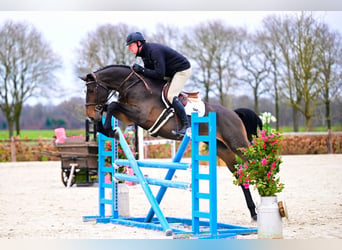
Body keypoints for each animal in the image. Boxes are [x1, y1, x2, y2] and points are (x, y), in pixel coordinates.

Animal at [81, 65, 258, 221]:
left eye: (92, 90)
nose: (90, 116)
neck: (132, 86)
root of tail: (234, 113)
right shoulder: (128, 116)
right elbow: (110, 107)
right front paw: (104, 128)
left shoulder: (140, 115)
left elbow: (112, 105)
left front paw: (110, 130)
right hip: (223, 150)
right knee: (239, 174)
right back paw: (253, 212)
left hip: (237, 144)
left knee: (253, 161)